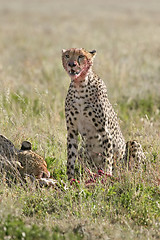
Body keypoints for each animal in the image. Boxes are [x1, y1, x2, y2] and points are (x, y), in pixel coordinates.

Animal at [62, 47, 146, 179]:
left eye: (81, 56)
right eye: (67, 56)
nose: (71, 64)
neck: (80, 84)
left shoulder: (104, 131)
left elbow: (107, 156)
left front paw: (107, 175)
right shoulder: (72, 131)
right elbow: (70, 157)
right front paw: (70, 180)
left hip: (133, 145)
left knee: (134, 169)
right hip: (83, 151)